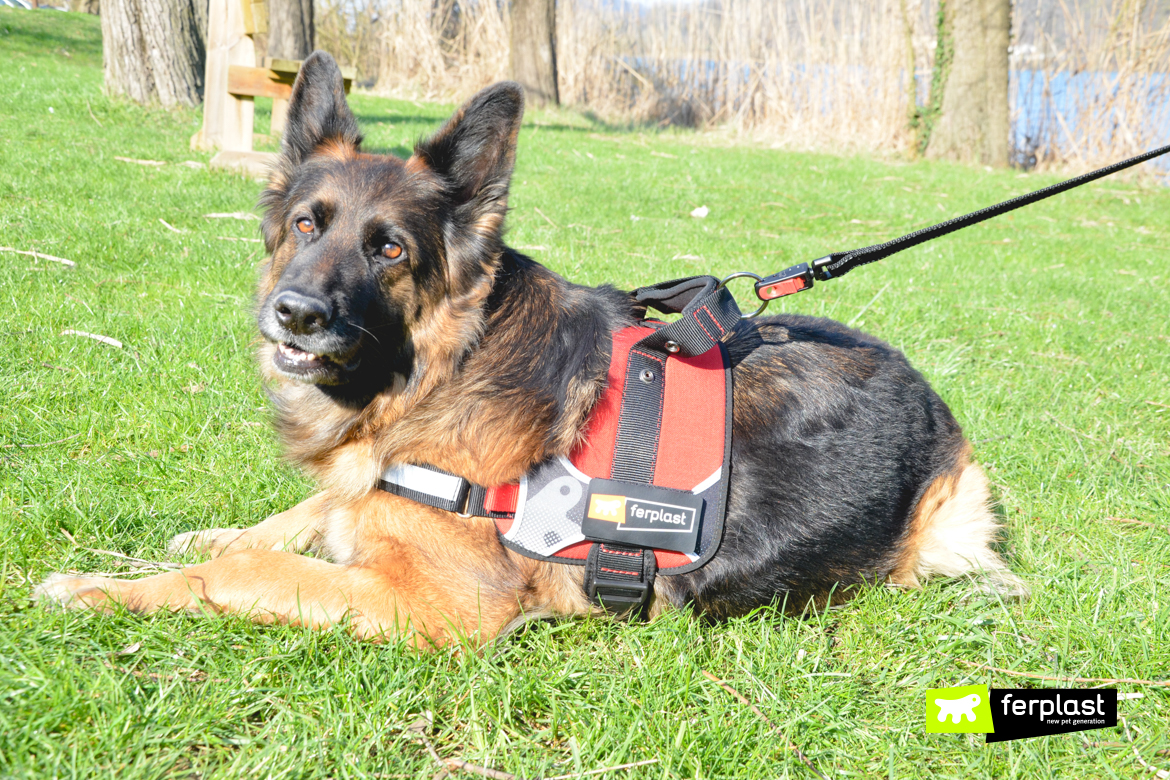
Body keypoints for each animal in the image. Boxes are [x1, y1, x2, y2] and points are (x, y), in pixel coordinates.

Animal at [34, 54, 1024, 645]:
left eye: (389, 251)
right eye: (308, 225)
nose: (294, 315)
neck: (443, 370)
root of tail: (937, 409)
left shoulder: (439, 601)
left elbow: (250, 567)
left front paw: (101, 585)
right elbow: (304, 513)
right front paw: (206, 532)